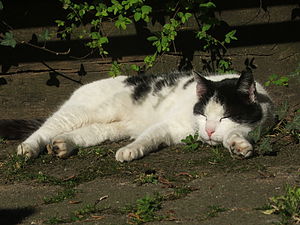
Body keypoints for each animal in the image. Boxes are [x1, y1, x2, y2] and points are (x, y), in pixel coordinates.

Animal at [8, 69, 274, 161]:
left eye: (225, 117)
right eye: (203, 114)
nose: (208, 130)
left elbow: (236, 134)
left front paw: (238, 146)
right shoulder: (168, 125)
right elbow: (148, 137)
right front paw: (129, 151)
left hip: (110, 128)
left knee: (86, 133)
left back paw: (62, 145)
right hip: (86, 111)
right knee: (47, 127)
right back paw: (29, 148)